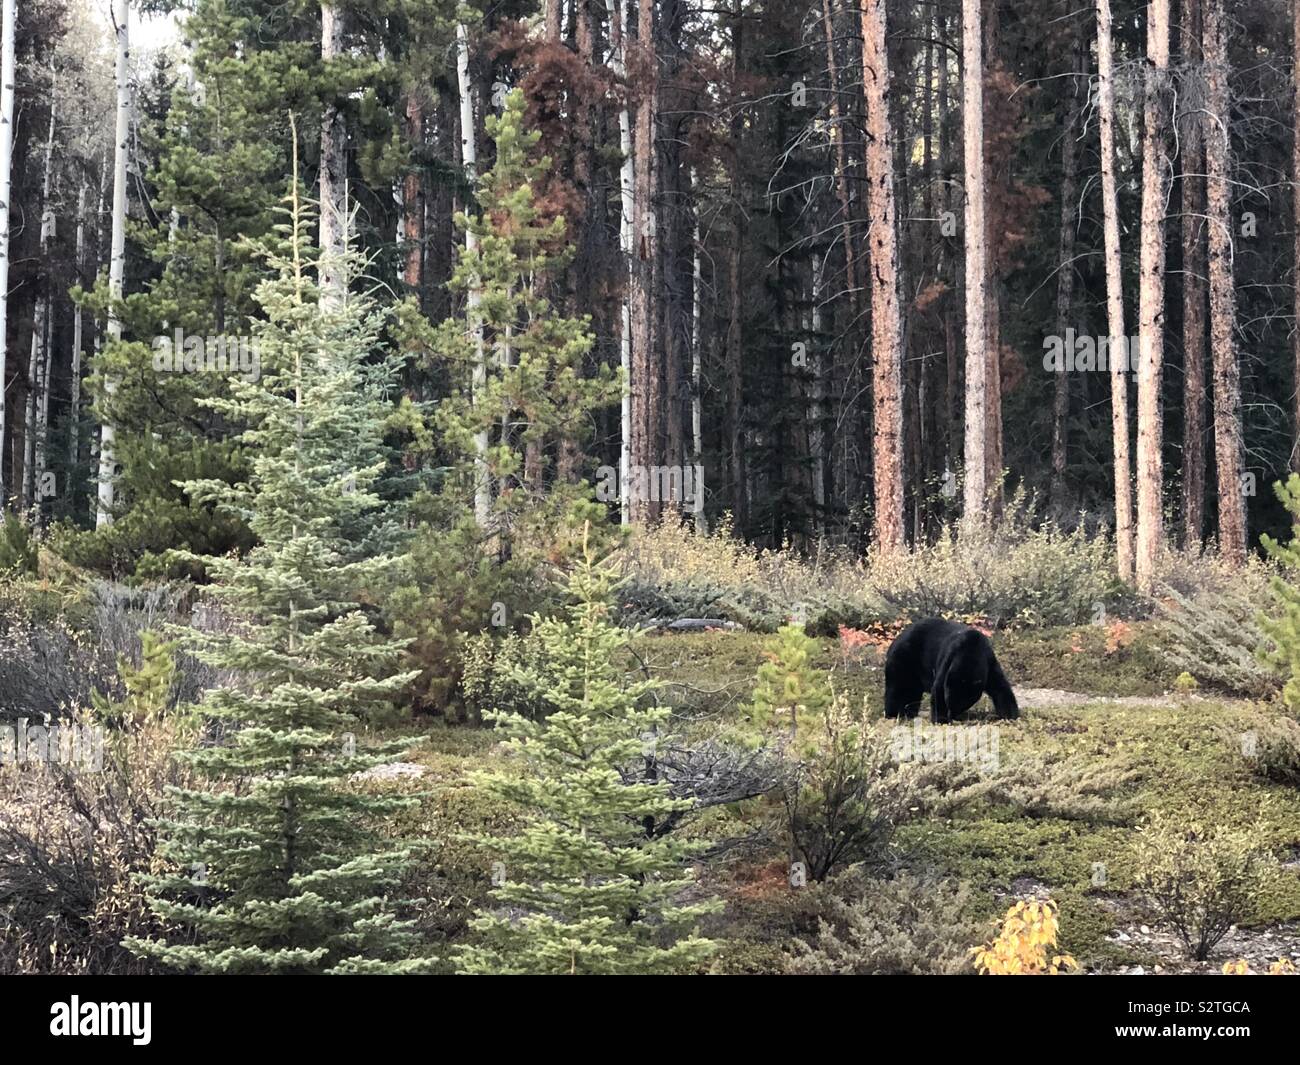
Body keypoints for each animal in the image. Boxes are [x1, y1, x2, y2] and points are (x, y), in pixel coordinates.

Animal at [878, 616, 1019, 723]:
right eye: (948, 700)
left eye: (963, 705)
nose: (951, 715)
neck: (971, 651)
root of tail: (894, 641)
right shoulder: (949, 657)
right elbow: (938, 688)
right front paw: (940, 719)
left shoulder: (989, 660)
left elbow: (1000, 688)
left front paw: (1011, 716)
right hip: (903, 660)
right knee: (896, 689)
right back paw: (893, 715)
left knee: (912, 692)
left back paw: (909, 713)